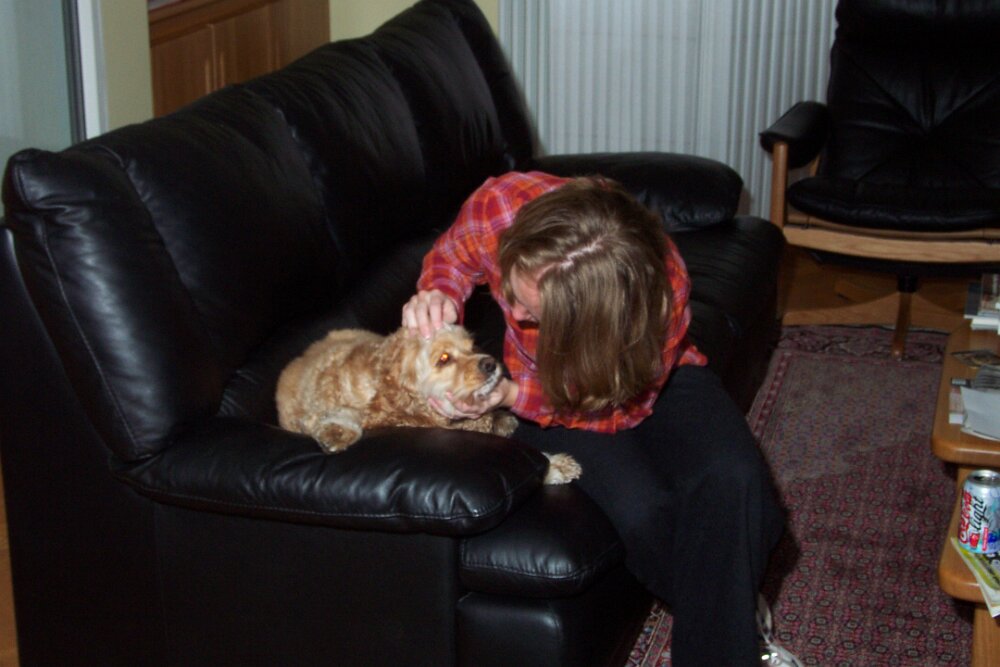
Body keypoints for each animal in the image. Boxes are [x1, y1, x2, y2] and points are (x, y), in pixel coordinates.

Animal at [276, 325, 581, 485]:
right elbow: (339, 415)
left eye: (470, 347)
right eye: (443, 358)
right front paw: (337, 431)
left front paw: (555, 465)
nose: (490, 364)